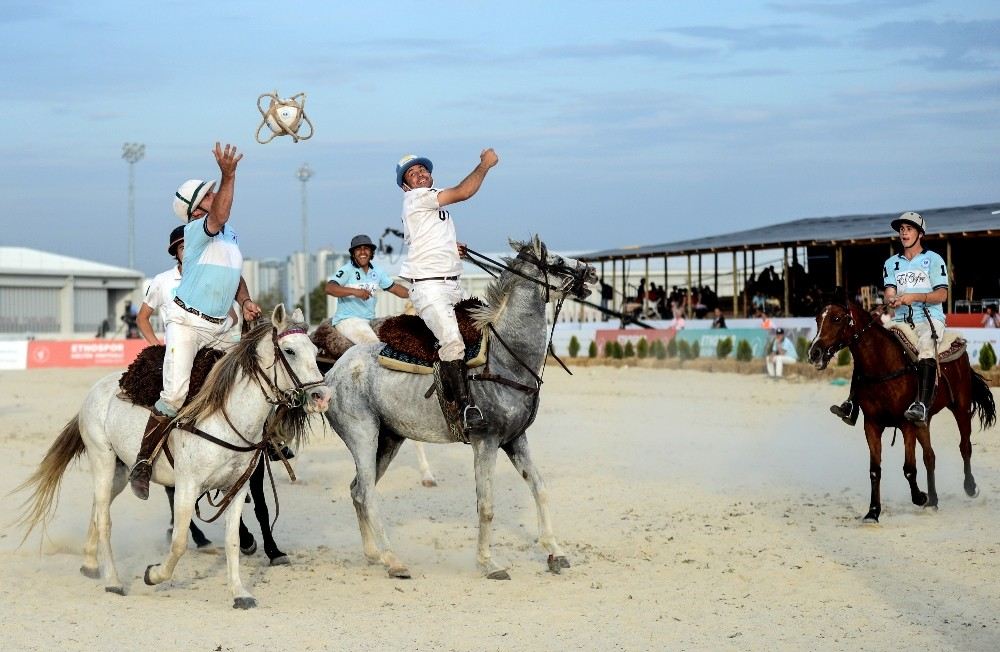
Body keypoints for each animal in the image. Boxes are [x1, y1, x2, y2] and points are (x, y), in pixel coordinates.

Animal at [15, 304, 330, 608]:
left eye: (316, 352)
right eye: (289, 351)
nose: (322, 397)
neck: (226, 417)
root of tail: (97, 388)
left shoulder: (237, 488)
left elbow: (233, 540)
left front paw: (240, 593)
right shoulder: (187, 486)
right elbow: (178, 541)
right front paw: (153, 575)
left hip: (120, 471)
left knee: (97, 508)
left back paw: (91, 564)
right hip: (101, 459)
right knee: (105, 520)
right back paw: (113, 581)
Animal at [324, 236, 596, 580]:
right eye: (558, 262)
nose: (592, 273)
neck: (505, 358)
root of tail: (331, 375)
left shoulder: (515, 439)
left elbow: (540, 488)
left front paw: (555, 551)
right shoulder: (486, 441)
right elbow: (487, 505)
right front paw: (488, 562)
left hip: (388, 439)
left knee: (358, 489)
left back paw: (374, 554)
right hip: (363, 437)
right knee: (367, 494)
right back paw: (394, 560)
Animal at [808, 304, 996, 524]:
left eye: (837, 319)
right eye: (817, 319)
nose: (814, 353)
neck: (883, 367)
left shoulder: (906, 425)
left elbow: (909, 468)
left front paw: (920, 497)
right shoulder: (871, 425)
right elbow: (875, 470)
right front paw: (873, 511)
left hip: (961, 407)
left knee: (965, 447)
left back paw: (970, 487)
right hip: (924, 420)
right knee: (930, 456)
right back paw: (933, 501)